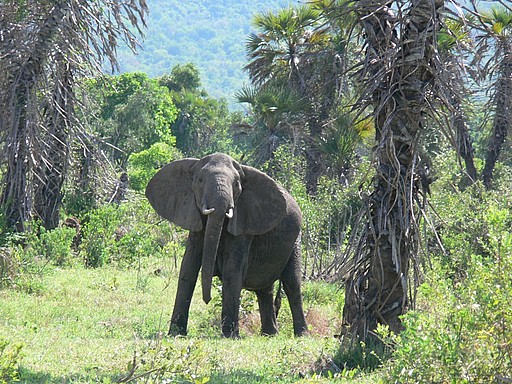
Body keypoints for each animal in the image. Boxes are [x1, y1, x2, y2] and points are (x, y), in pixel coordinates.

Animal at [146, 152, 310, 338]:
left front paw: (230, 337)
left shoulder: (243, 221)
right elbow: (188, 267)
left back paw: (302, 335)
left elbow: (232, 269)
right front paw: (175, 334)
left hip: (296, 240)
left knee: (292, 283)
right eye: (200, 180)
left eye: (237, 184)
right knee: (264, 289)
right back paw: (270, 334)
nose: (207, 299)